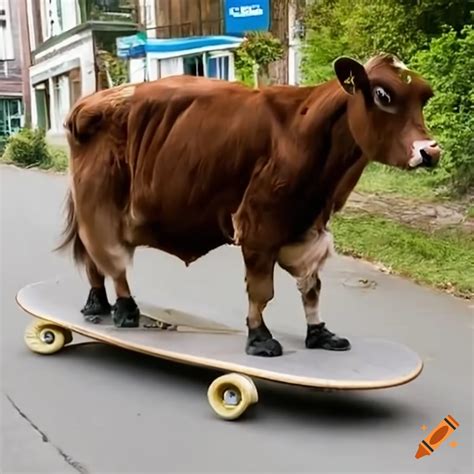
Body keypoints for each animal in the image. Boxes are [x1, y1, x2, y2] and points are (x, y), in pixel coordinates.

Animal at [58, 52, 440, 356]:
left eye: (425, 97)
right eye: (382, 94)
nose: (430, 151)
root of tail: (90, 101)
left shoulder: (308, 224)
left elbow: (311, 286)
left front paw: (320, 335)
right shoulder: (260, 222)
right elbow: (261, 290)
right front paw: (260, 338)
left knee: (94, 261)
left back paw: (98, 306)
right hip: (99, 204)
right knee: (110, 258)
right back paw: (123, 310)